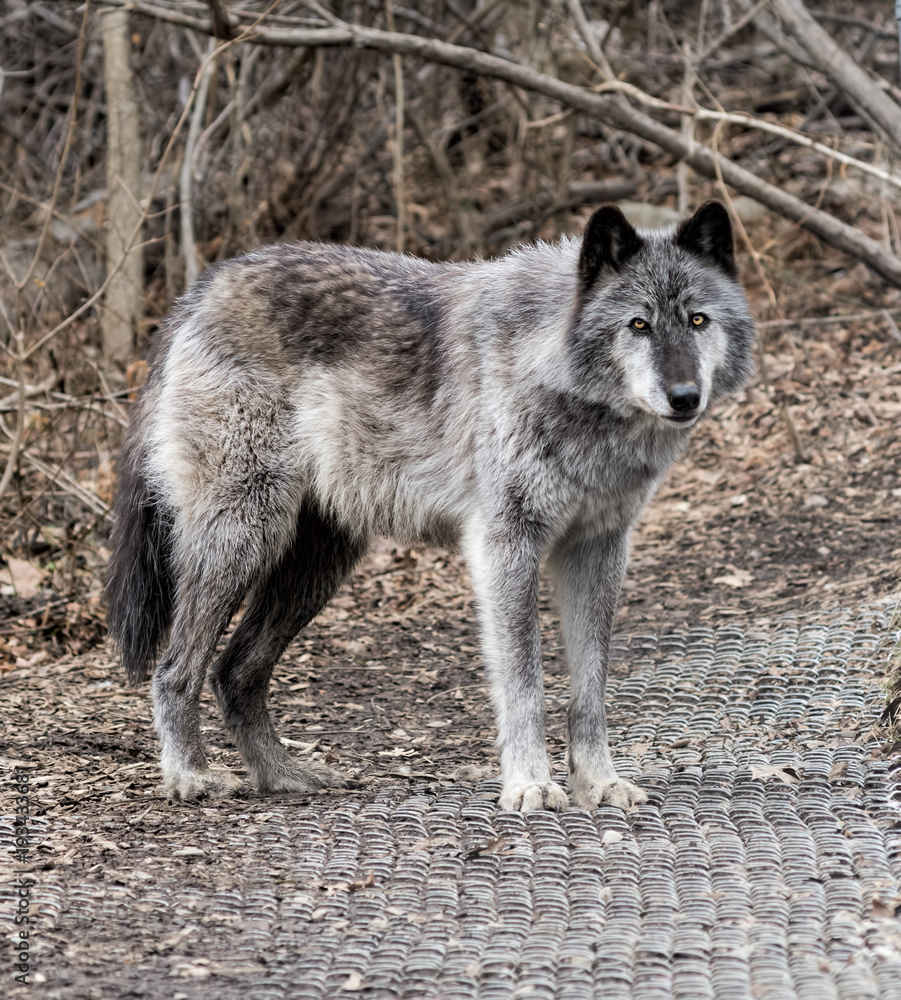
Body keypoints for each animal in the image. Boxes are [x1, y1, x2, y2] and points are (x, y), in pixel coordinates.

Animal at [106, 201, 754, 811]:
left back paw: (285, 776)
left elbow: (590, 690)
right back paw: (189, 776)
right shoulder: (506, 545)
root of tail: (201, 289)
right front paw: (530, 785)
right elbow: (525, 684)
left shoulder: (599, 549)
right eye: (638, 324)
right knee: (176, 669)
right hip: (244, 537)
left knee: (235, 672)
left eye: (698, 319)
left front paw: (599, 782)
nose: (684, 396)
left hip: (317, 564)